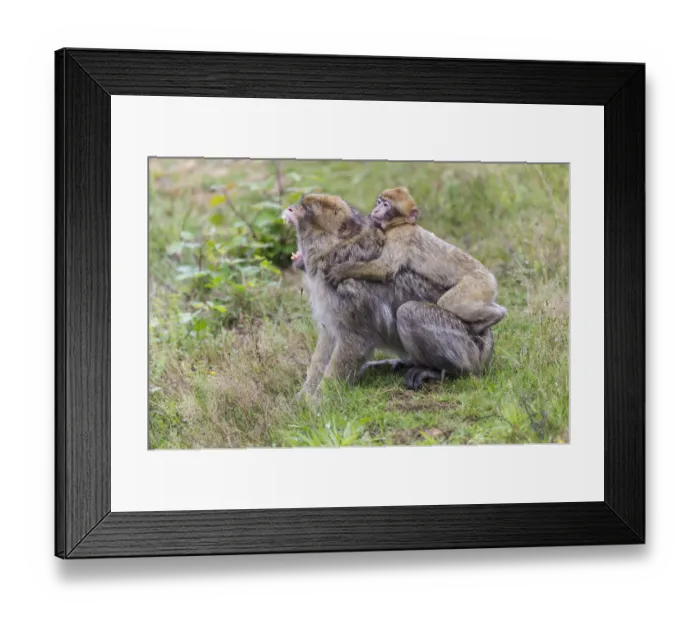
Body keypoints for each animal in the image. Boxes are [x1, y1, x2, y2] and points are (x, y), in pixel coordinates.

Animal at [282, 192, 494, 394]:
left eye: (306, 209)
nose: (290, 208)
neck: (335, 252)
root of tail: (487, 350)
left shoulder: (349, 294)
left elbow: (354, 342)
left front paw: (320, 399)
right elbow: (328, 337)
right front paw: (304, 396)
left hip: (467, 348)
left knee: (410, 312)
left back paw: (440, 371)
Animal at [324, 187, 507, 334]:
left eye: (386, 205)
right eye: (380, 201)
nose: (376, 209)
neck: (399, 224)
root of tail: (491, 278)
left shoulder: (400, 236)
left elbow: (386, 268)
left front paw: (341, 270)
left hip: (476, 285)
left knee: (450, 303)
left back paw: (495, 315)